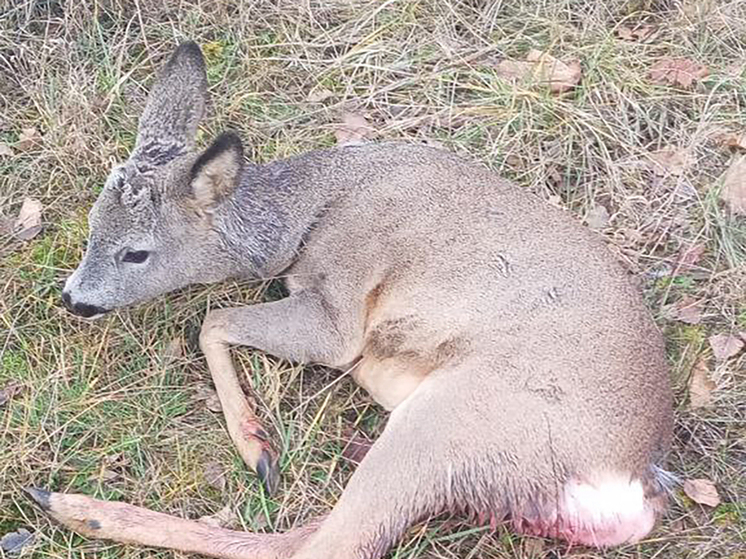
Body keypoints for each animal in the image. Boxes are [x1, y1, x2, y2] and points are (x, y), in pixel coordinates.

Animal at [32, 42, 672, 559]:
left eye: (135, 253)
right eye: (92, 225)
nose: (74, 299)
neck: (306, 221)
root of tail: (628, 486)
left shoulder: (338, 314)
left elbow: (212, 319)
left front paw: (253, 442)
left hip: (458, 421)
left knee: (325, 545)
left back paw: (80, 505)